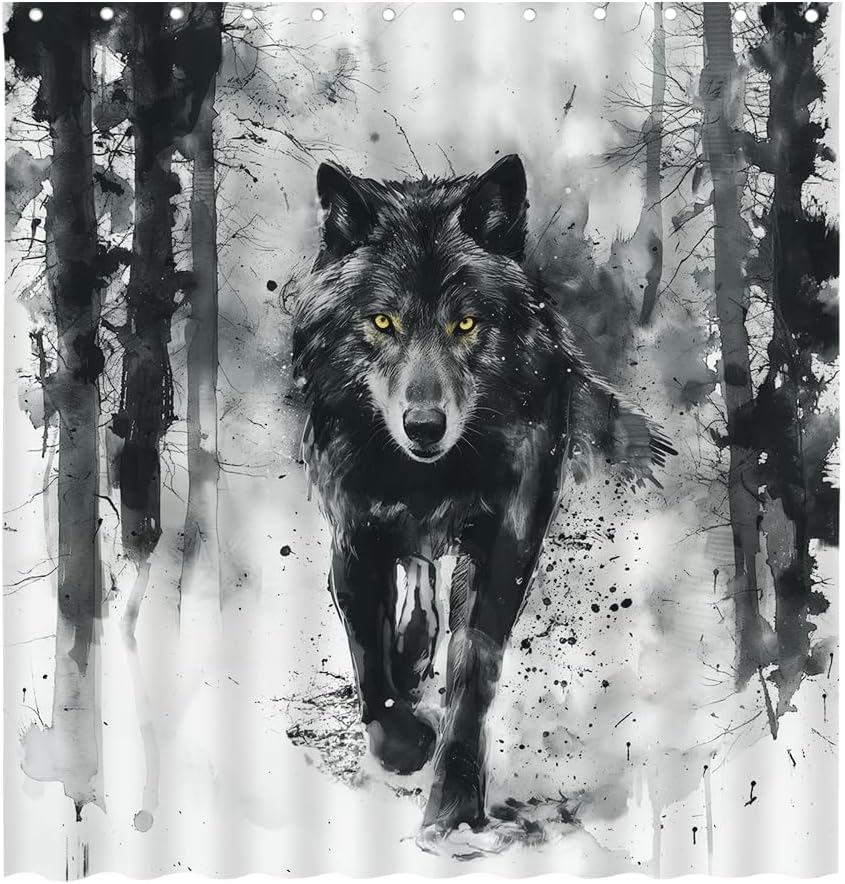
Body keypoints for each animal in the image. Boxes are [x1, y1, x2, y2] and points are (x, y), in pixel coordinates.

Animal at [292, 155, 674, 835]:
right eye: (383, 321)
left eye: (465, 323)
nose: (424, 426)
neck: (428, 476)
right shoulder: (356, 540)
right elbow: (369, 661)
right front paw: (405, 742)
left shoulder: (504, 544)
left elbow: (472, 675)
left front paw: (455, 803)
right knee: (416, 580)